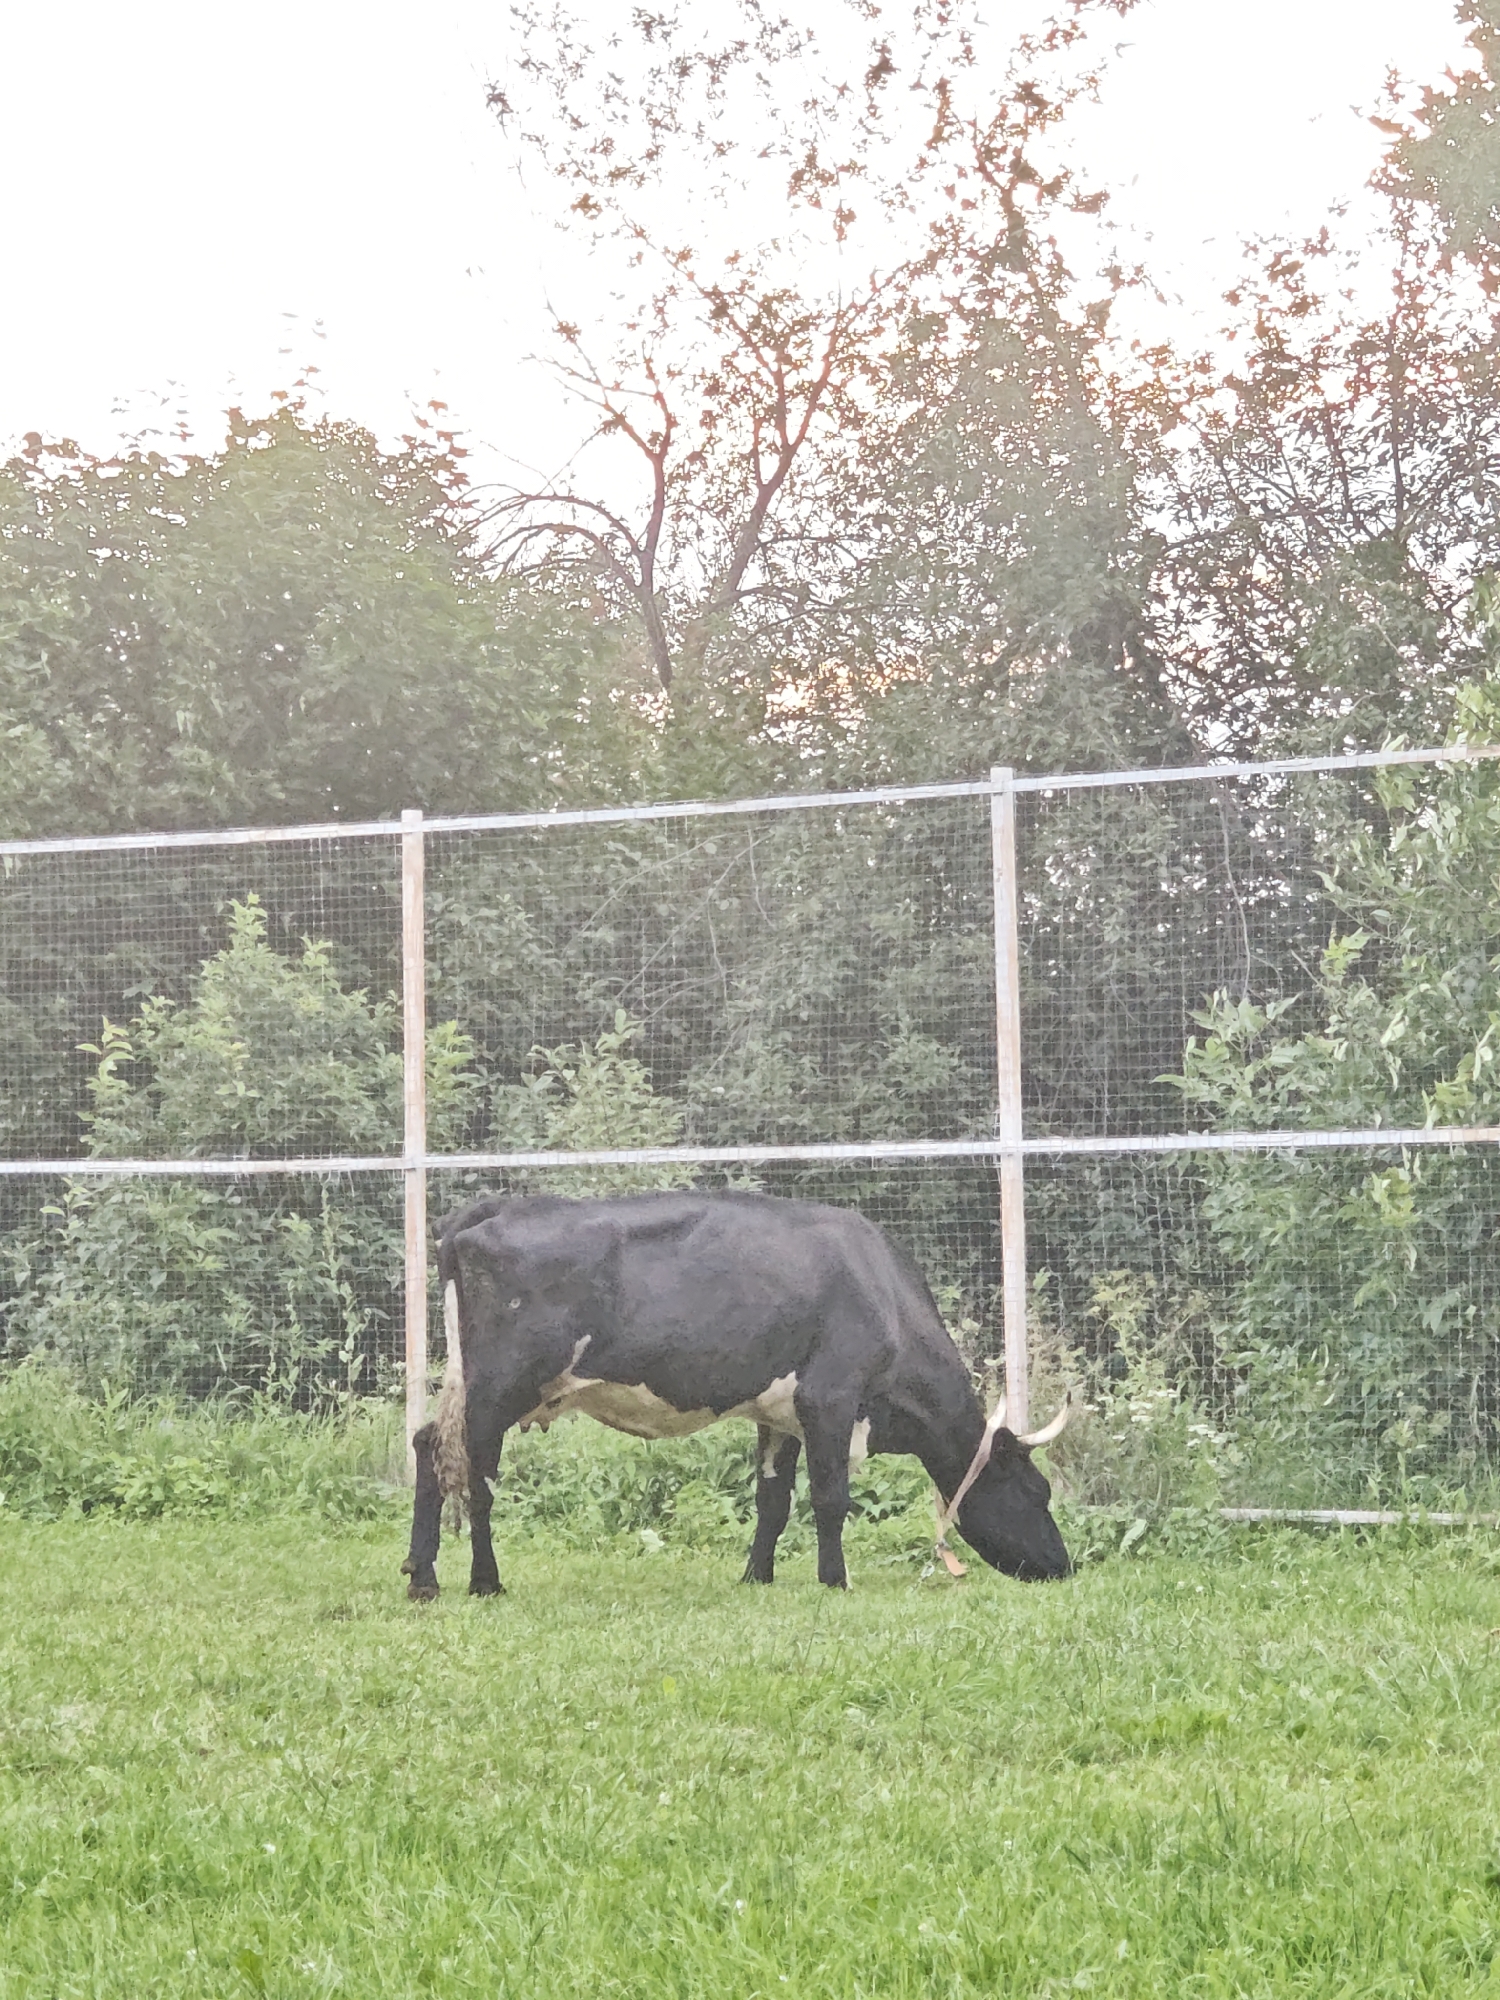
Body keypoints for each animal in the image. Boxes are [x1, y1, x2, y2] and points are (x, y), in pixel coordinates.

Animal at [401, 1190, 1072, 1599]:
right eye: (1035, 1491)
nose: (1064, 1567)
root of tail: (489, 1210)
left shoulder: (780, 1414)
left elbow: (772, 1500)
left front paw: (757, 1576)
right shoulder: (830, 1398)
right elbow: (830, 1499)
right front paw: (835, 1580)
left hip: (472, 1385)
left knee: (429, 1446)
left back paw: (422, 1578)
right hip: (500, 1386)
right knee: (475, 1474)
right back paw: (484, 1581)